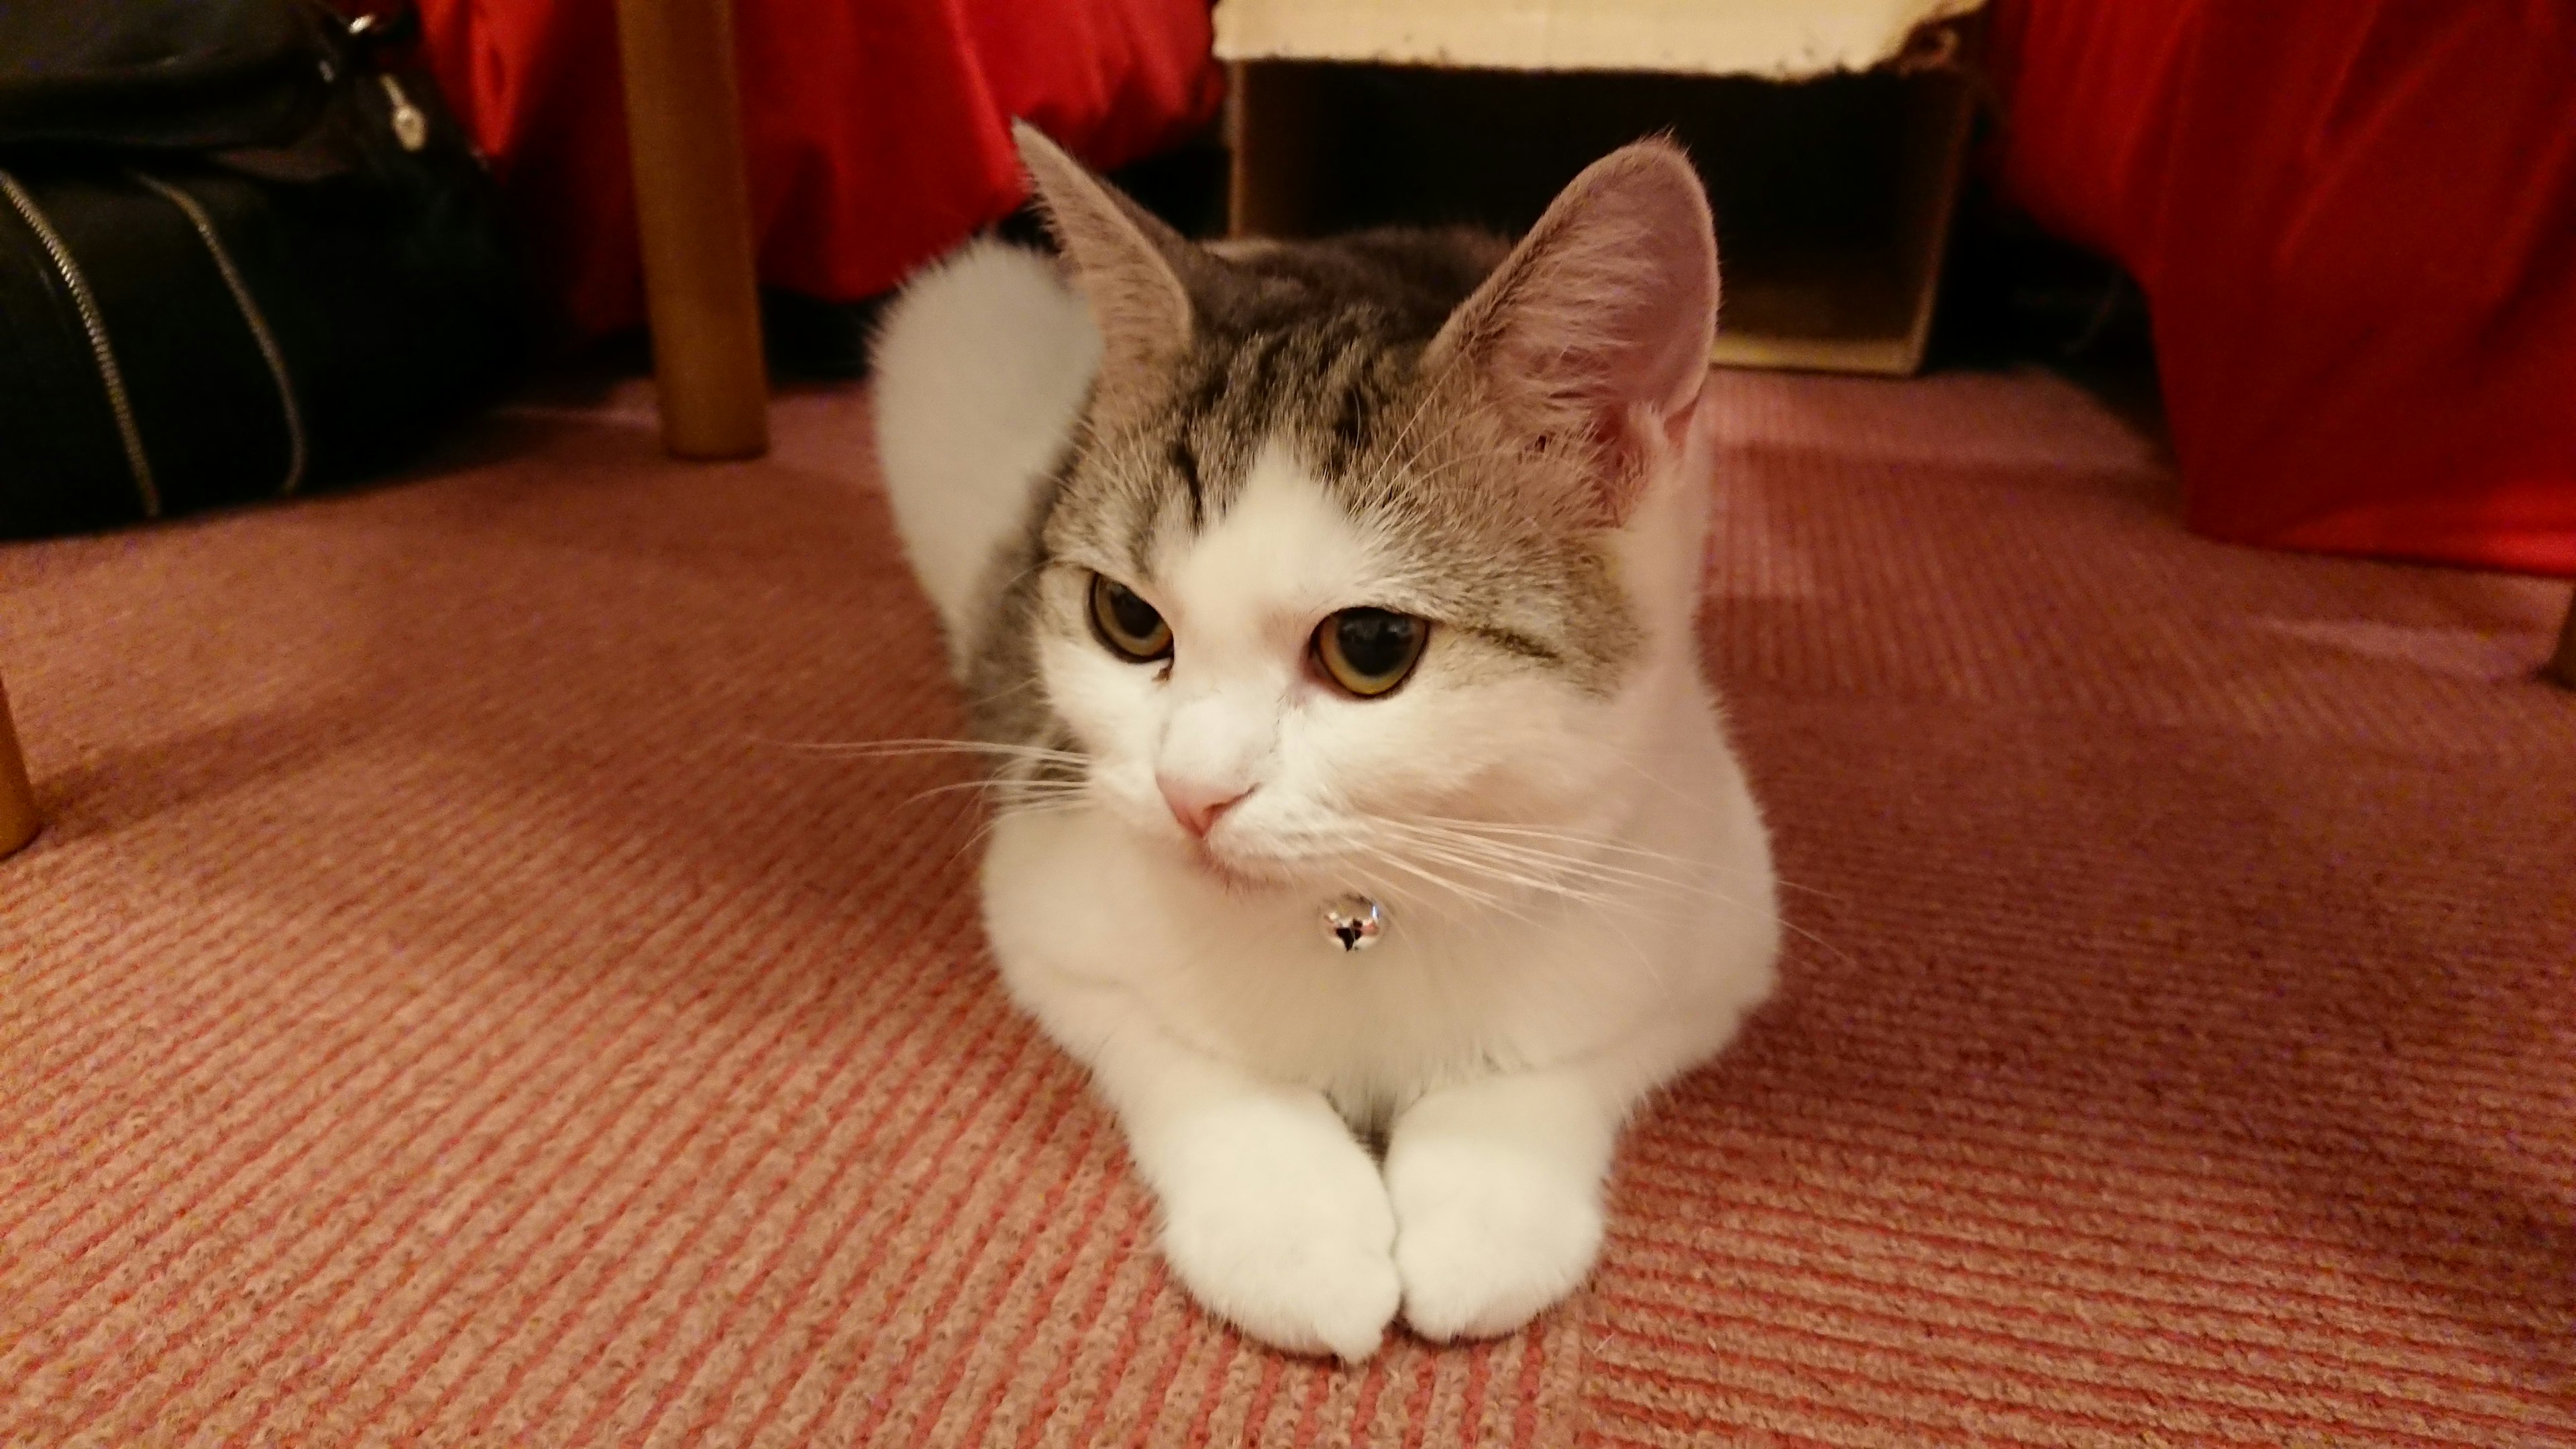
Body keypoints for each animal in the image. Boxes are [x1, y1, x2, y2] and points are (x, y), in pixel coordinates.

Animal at [875, 123, 1782, 1350]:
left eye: (1370, 645)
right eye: (1127, 620)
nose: (1190, 792)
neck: (1365, 915)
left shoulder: (1712, 918)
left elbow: (1575, 1053)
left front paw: (1487, 1204)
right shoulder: (1045, 888)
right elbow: (1175, 1047)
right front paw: (1291, 1224)